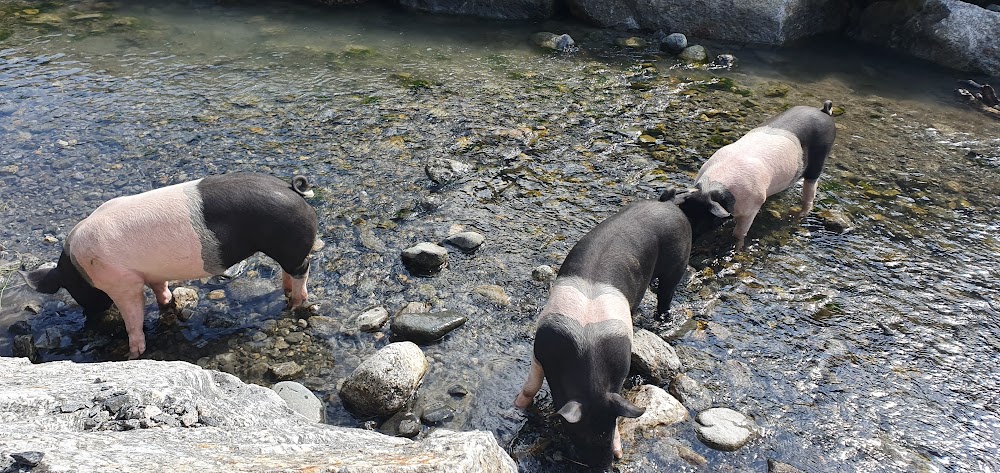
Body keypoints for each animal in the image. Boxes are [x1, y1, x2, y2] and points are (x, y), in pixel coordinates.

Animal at [20, 171, 316, 360]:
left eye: (73, 292)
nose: (90, 322)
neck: (80, 267)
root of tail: (291, 188)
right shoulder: (151, 273)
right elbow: (160, 289)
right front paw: (166, 304)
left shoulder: (124, 283)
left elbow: (134, 316)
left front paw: (132, 354)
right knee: (289, 271)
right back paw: (287, 294)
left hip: (289, 245)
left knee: (302, 268)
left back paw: (296, 303)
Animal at [516, 190, 696, 470]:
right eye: (579, 433)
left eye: (610, 429)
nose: (605, 467)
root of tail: (669, 205)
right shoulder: (540, 349)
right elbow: (531, 385)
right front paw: (517, 407)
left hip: (678, 261)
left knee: (666, 294)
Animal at [676, 98, 840, 249]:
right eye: (685, 214)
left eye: (703, 222)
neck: (713, 187)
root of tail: (823, 111)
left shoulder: (753, 205)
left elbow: (739, 233)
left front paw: (737, 246)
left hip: (821, 156)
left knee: (810, 189)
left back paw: (801, 215)